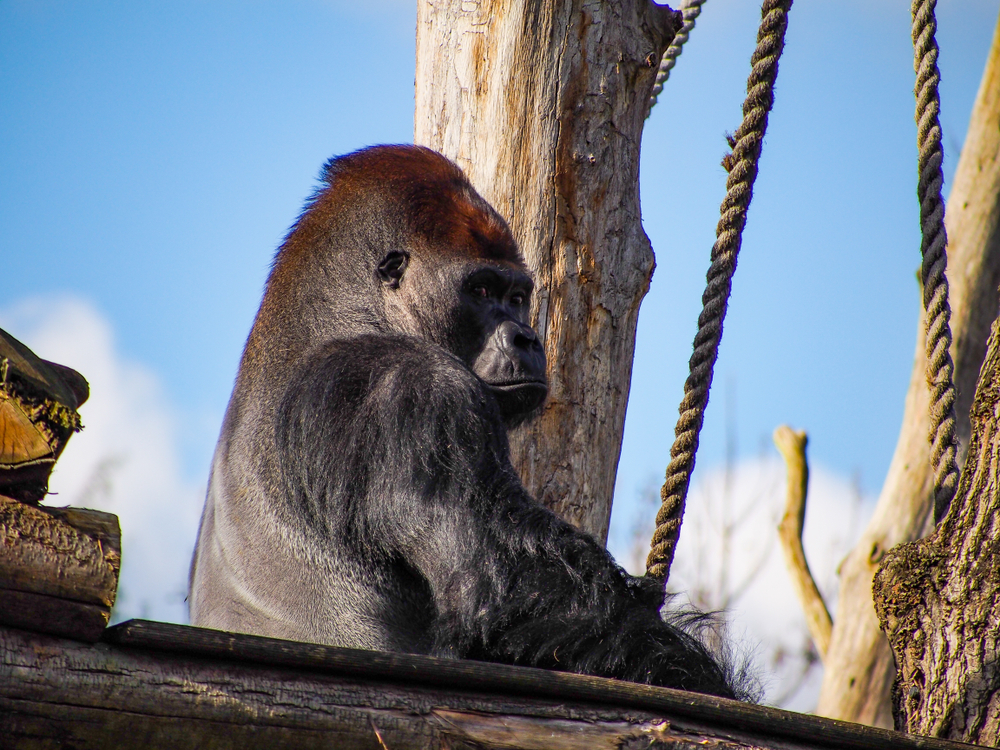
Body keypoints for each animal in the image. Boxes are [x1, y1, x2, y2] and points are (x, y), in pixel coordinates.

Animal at [188, 145, 740, 700]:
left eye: (517, 297)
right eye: (480, 289)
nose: (526, 338)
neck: (338, 310)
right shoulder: (417, 392)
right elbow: (508, 593)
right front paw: (704, 681)